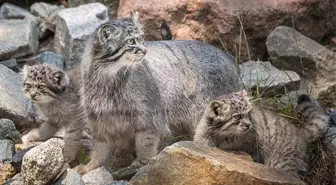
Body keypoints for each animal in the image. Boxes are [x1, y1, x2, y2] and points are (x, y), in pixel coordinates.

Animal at [193, 89, 330, 178]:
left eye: (249, 113)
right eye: (237, 117)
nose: (248, 125)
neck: (218, 134)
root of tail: (299, 131)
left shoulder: (252, 150)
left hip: (282, 164)